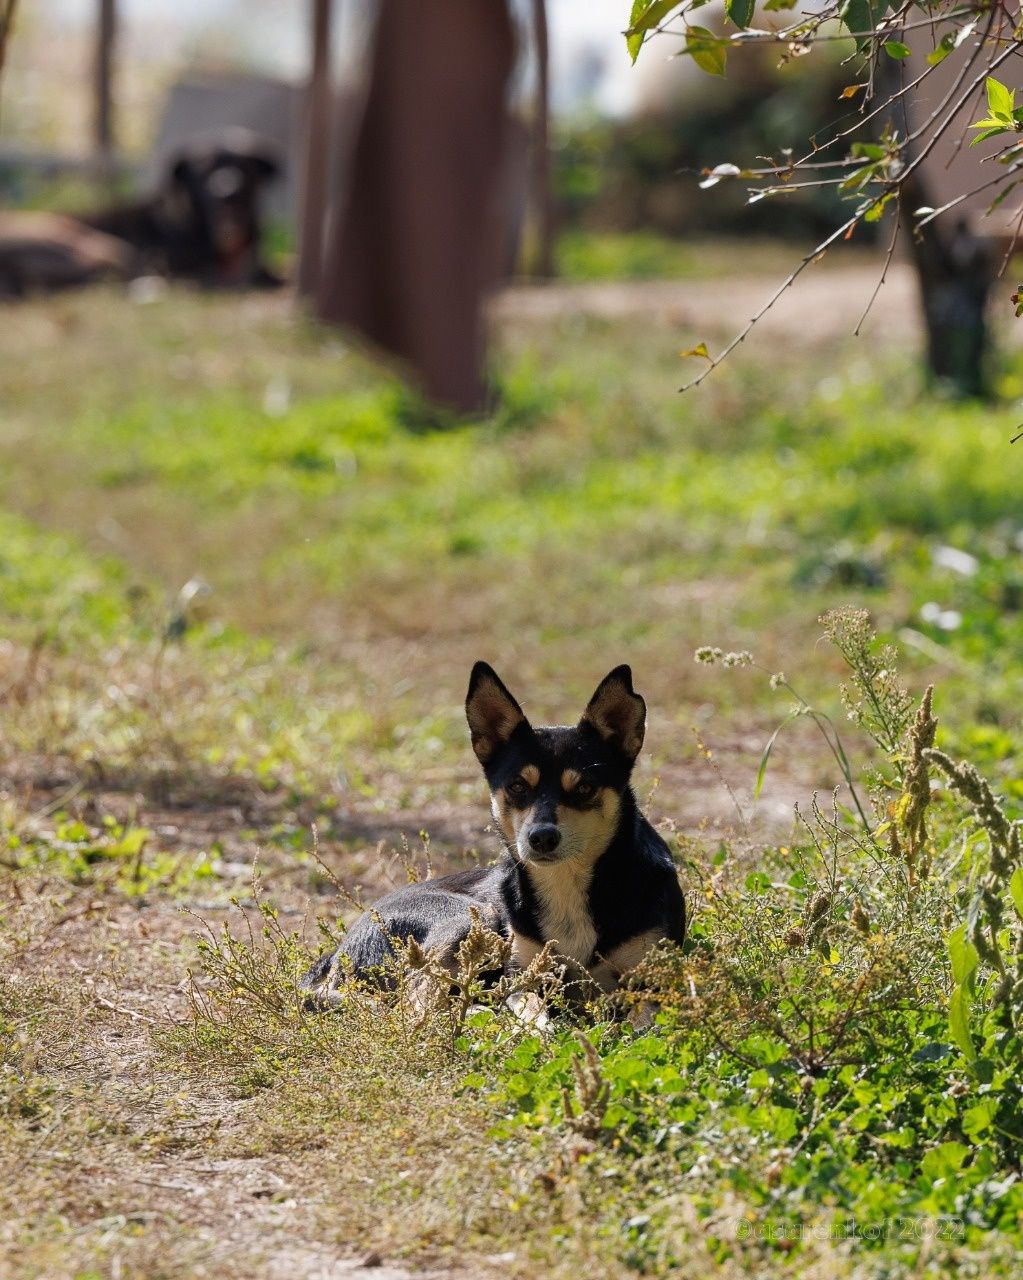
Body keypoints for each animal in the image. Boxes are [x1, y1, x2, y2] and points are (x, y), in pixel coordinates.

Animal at [304, 670, 686, 1008]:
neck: (568, 885)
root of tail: (337, 952)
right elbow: (531, 1015)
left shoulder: (652, 985)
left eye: (585, 788)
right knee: (415, 1006)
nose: (541, 838)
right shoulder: (522, 979)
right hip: (471, 918)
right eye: (517, 786)